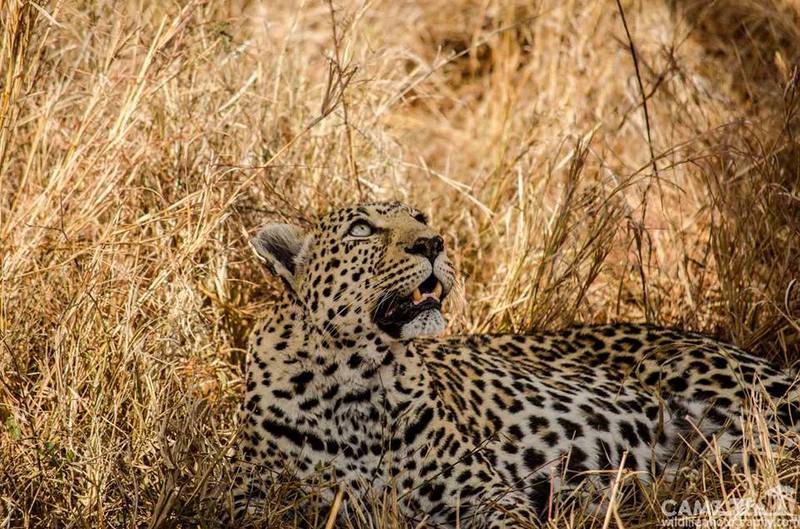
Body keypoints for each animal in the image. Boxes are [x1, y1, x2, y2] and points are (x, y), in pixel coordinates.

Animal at [231, 201, 799, 528]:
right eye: (360, 230)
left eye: (418, 218)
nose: (433, 242)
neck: (357, 378)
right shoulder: (255, 500)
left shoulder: (485, 494)